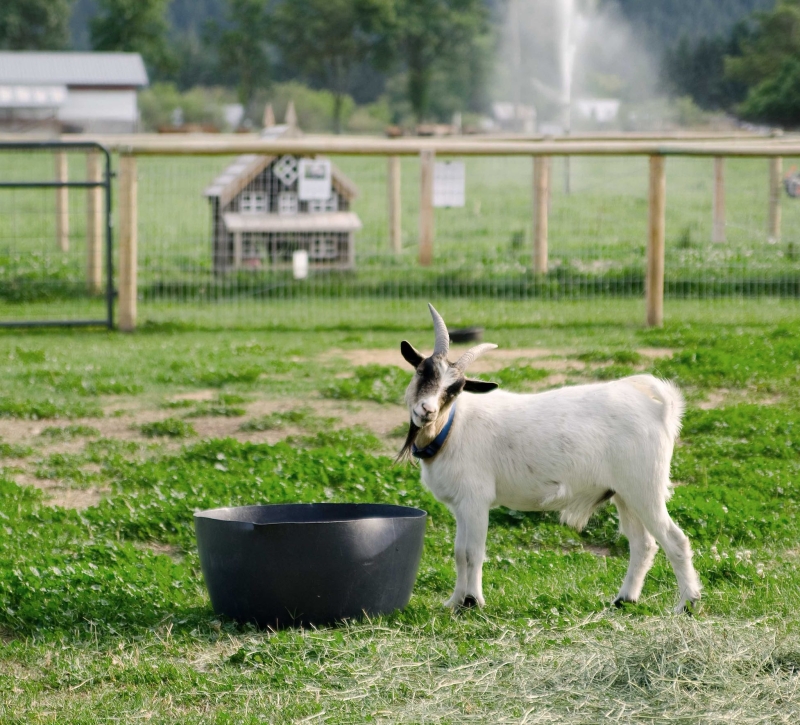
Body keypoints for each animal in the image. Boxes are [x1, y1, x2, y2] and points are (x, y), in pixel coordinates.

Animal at [398, 304, 701, 613]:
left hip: (645, 488)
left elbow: (474, 551)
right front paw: (454, 602)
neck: (452, 427)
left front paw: (473, 602)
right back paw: (624, 599)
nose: (427, 411)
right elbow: (459, 552)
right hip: (624, 495)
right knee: (643, 543)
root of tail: (659, 408)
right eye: (423, 371)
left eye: (455, 389)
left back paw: (687, 603)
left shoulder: (476, 500)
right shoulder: (460, 505)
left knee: (674, 539)